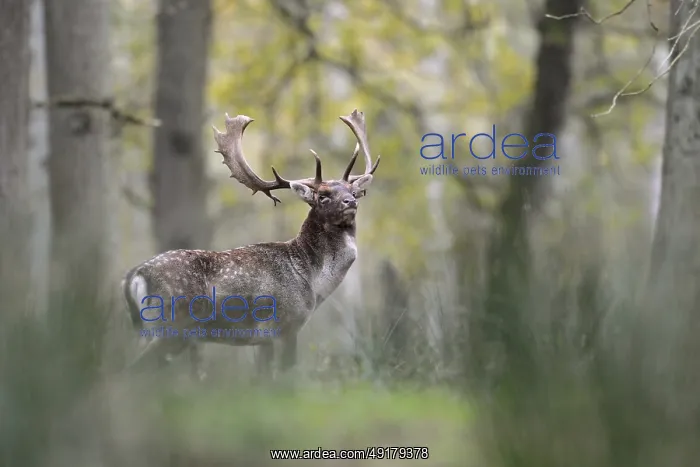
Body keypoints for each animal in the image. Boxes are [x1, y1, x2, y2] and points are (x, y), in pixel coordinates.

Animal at [122, 109, 379, 380]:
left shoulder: (263, 341)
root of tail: (134, 276)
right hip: (172, 324)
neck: (312, 280)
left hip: (147, 330)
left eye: (353, 190)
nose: (350, 201)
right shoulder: (287, 324)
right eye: (322, 196)